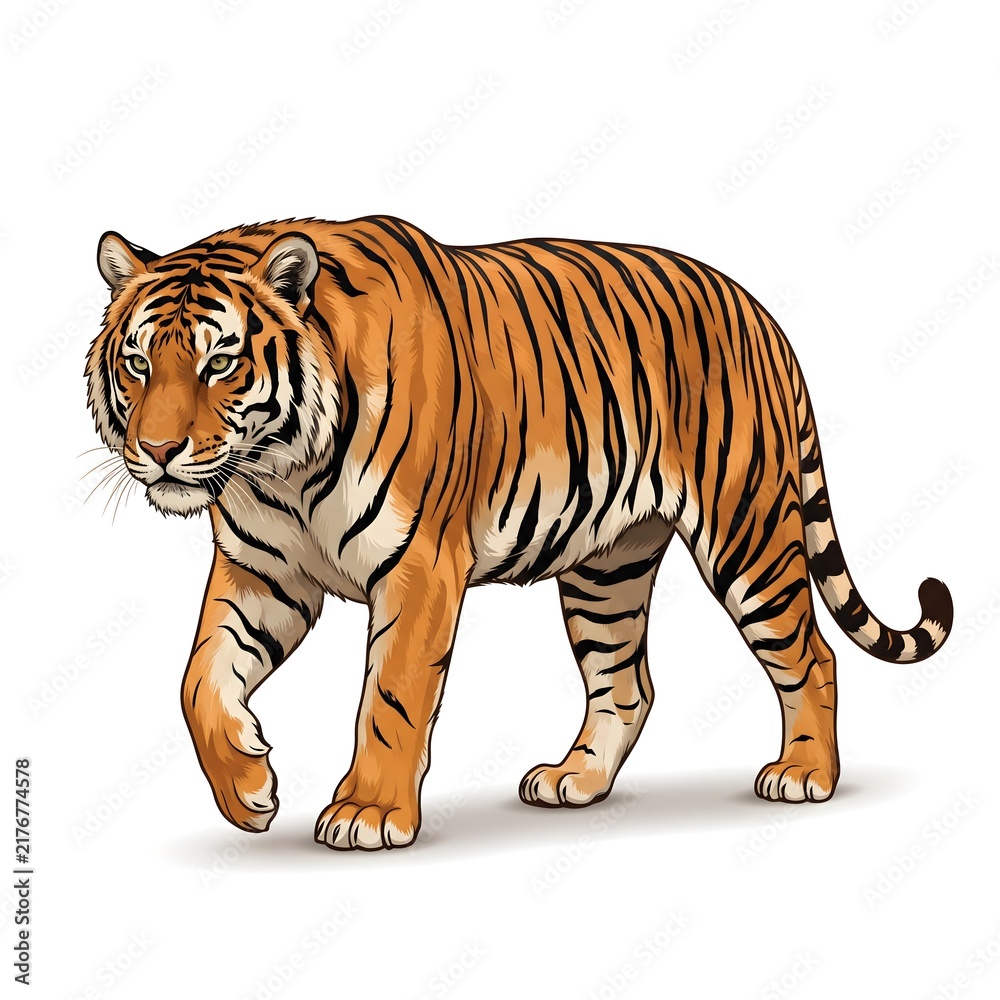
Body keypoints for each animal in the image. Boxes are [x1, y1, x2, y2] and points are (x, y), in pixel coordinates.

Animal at [85, 215, 953, 851]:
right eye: (138, 364)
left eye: (219, 363)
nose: (157, 450)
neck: (278, 467)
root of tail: (761, 314)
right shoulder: (263, 571)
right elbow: (200, 680)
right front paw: (249, 792)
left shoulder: (418, 565)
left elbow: (390, 695)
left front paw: (368, 814)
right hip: (607, 569)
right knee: (627, 684)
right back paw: (576, 782)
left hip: (747, 533)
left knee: (811, 656)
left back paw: (804, 775)